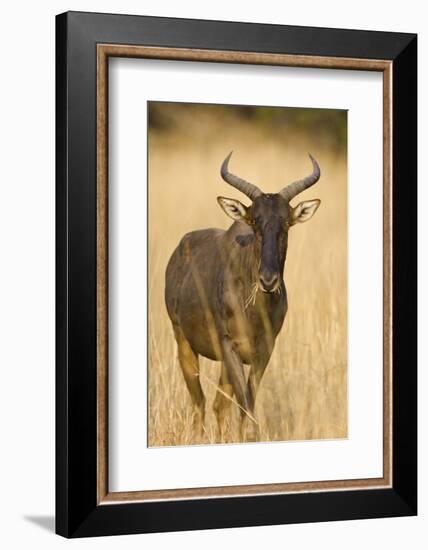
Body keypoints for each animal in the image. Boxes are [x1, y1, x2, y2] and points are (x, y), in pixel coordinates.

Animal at [164, 152, 320, 444]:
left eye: (286, 223)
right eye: (255, 222)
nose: (268, 281)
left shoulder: (265, 350)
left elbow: (247, 401)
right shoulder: (230, 346)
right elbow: (244, 403)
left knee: (217, 405)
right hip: (184, 342)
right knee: (200, 403)